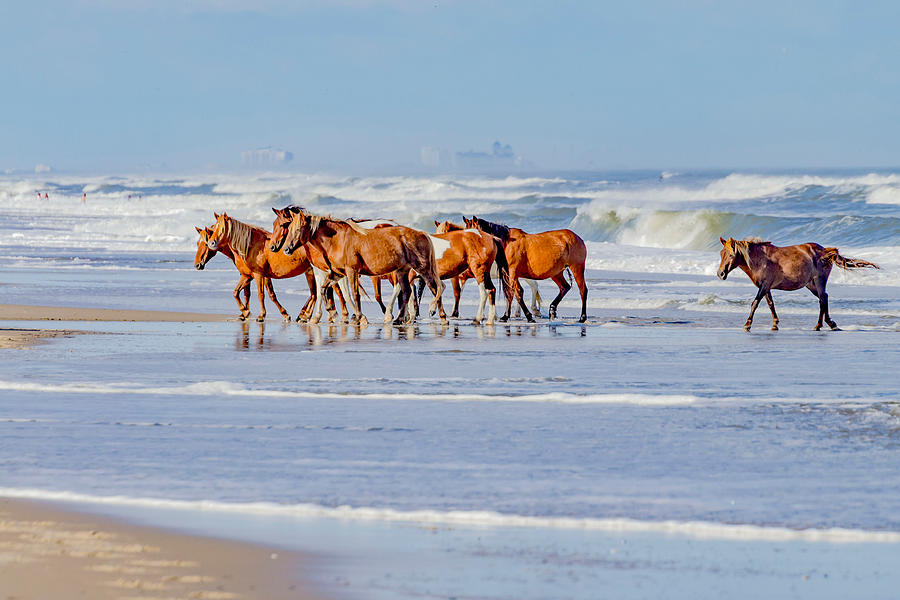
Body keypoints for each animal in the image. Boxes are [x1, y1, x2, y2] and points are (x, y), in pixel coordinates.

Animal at [464, 213, 592, 322]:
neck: (506, 242)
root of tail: (577, 237)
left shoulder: (512, 273)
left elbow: (515, 293)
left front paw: (526, 316)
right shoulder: (509, 274)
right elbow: (513, 294)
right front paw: (508, 316)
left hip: (577, 268)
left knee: (583, 290)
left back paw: (582, 317)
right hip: (556, 272)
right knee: (564, 287)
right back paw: (552, 309)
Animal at [716, 238, 880, 332]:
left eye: (731, 254)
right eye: (721, 253)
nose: (720, 274)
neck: (760, 260)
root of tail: (824, 251)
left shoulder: (764, 286)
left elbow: (755, 303)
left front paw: (747, 324)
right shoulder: (766, 287)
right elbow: (771, 304)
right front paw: (775, 324)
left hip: (819, 280)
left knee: (823, 299)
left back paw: (822, 325)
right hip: (811, 284)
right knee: (824, 299)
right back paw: (827, 324)